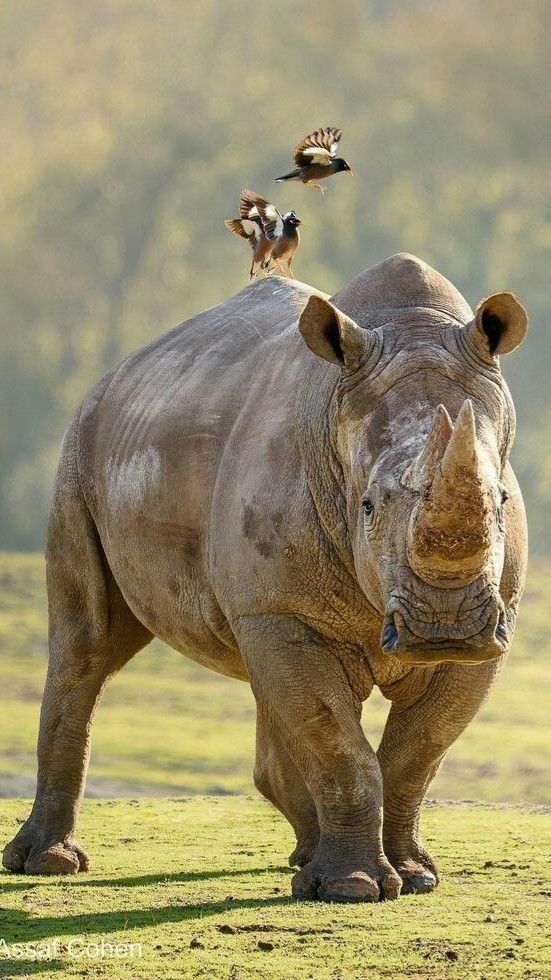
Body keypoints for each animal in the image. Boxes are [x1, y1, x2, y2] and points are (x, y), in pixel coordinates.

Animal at [3, 253, 528, 902]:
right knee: (87, 643)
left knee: (265, 683)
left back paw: (305, 860)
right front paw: (351, 889)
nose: (444, 627)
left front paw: (414, 878)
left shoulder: (496, 618)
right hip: (80, 444)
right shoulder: (280, 607)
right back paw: (47, 864)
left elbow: (415, 750)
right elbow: (337, 741)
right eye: (368, 507)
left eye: (500, 500)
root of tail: (115, 372)